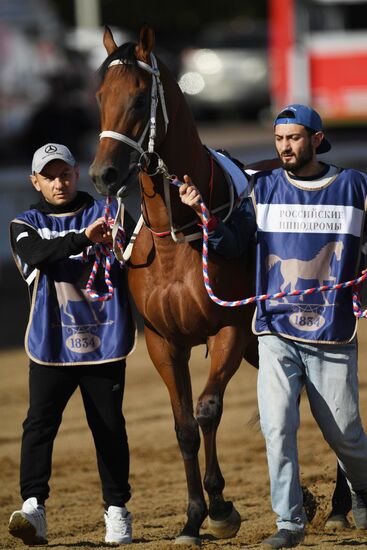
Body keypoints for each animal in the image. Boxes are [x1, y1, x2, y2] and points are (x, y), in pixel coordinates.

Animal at [90, 24, 260, 548]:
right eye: (100, 95)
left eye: (138, 96)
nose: (102, 174)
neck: (177, 234)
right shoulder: (164, 341)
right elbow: (184, 426)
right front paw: (192, 520)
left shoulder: (230, 329)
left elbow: (207, 410)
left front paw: (221, 509)